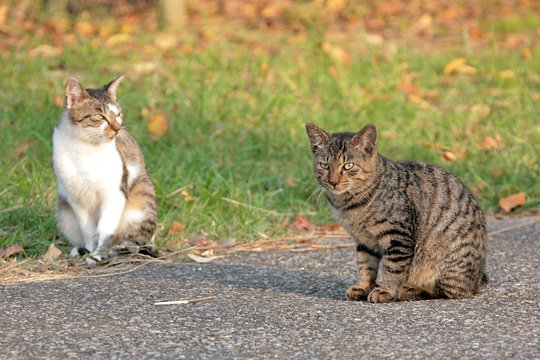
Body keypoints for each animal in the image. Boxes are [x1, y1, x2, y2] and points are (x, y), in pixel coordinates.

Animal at [53, 76, 157, 262]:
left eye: (118, 114)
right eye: (98, 116)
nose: (117, 128)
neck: (86, 150)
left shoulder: (114, 195)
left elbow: (104, 230)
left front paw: (98, 255)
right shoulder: (76, 198)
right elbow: (88, 231)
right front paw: (90, 250)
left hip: (140, 202)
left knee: (136, 242)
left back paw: (119, 248)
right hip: (64, 211)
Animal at [306, 122, 488, 302]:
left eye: (348, 165)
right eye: (324, 165)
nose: (333, 182)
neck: (349, 205)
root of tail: (478, 279)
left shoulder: (398, 236)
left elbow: (393, 268)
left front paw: (386, 290)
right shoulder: (364, 241)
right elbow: (365, 266)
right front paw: (364, 287)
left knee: (446, 291)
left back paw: (409, 290)